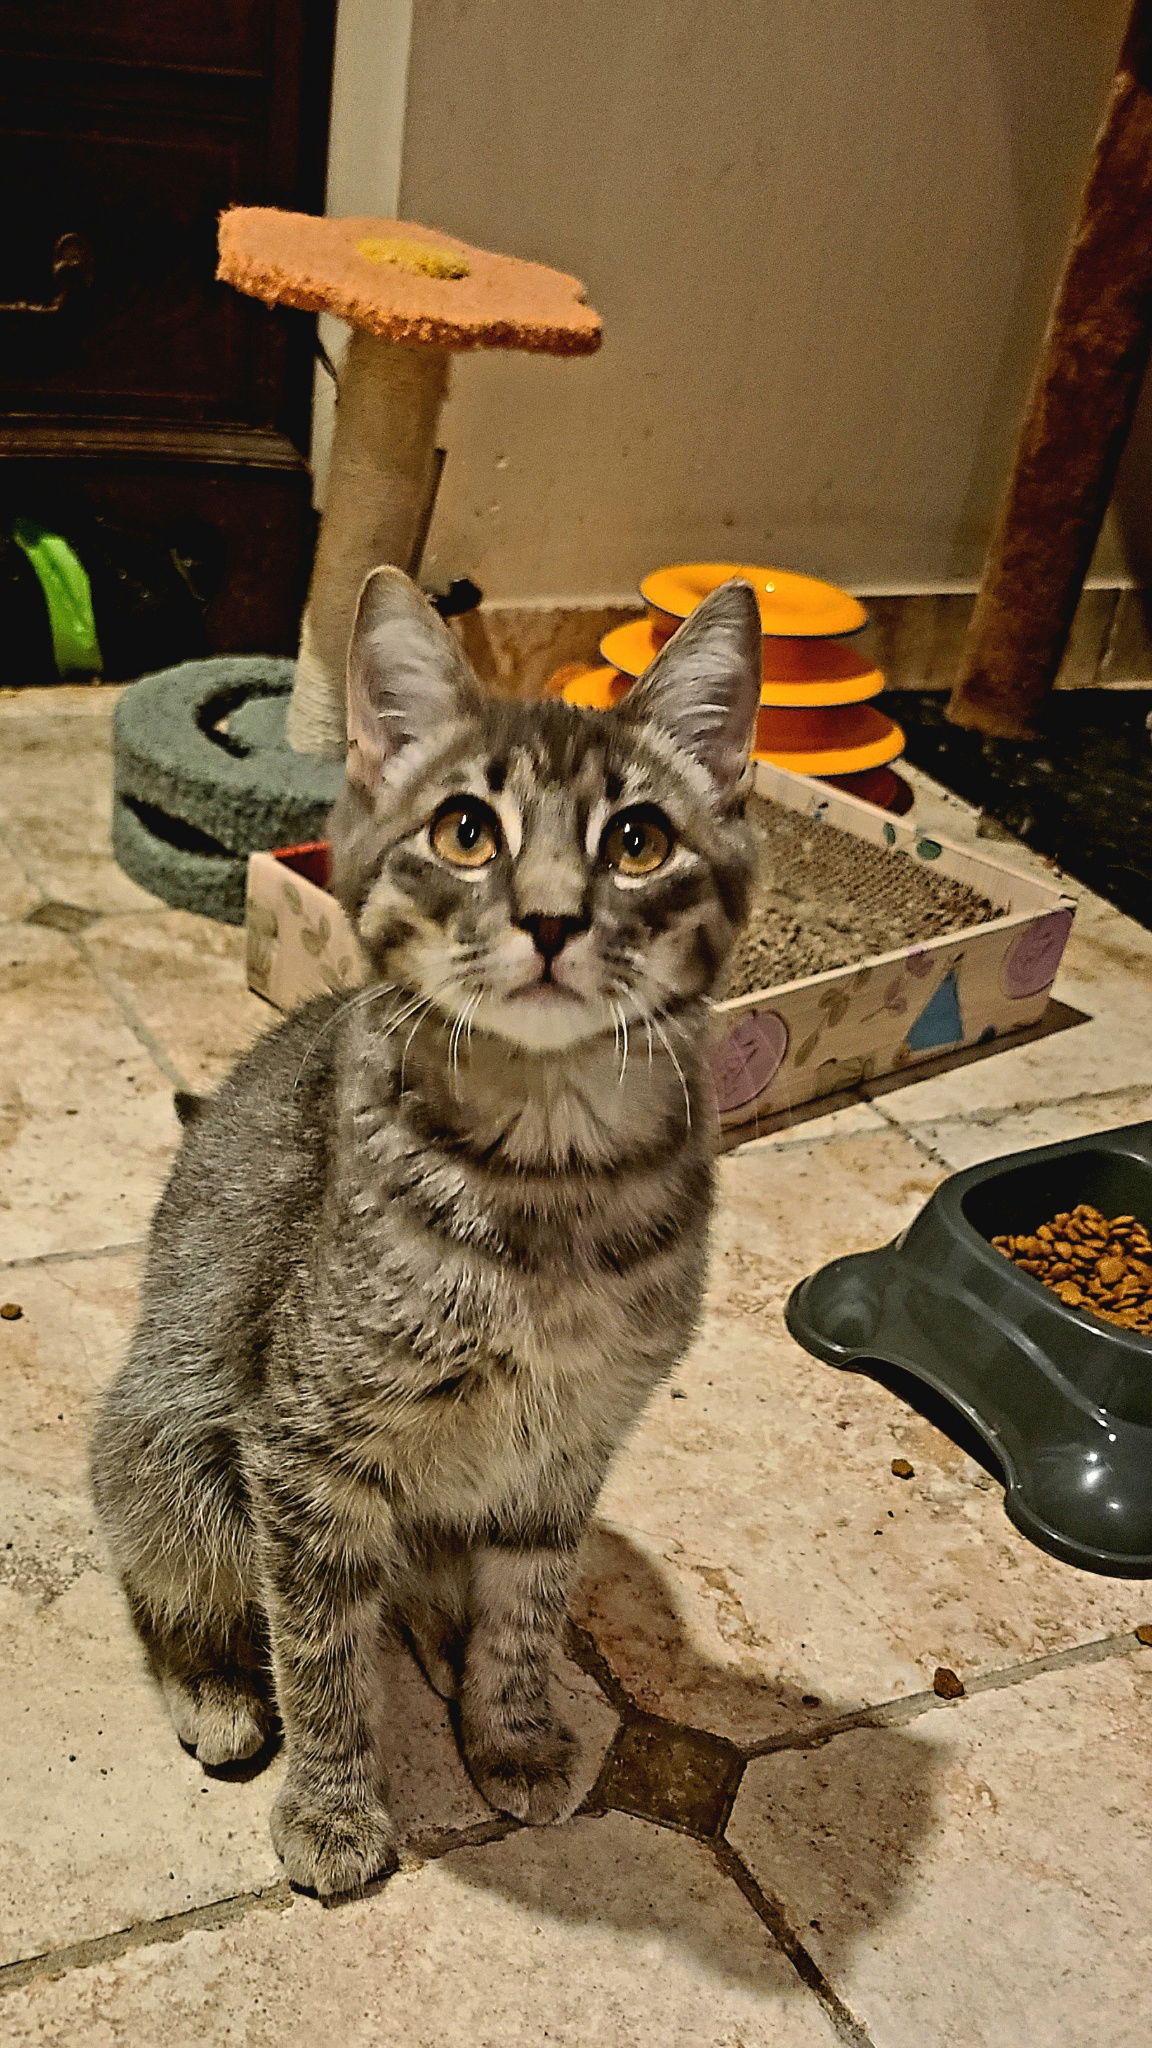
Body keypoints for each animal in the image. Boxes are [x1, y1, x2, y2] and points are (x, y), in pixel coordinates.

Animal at [91, 569, 762, 1892]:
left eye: (638, 841)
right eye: (466, 831)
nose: (551, 918)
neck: (548, 1179)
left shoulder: (566, 1451)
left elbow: (526, 1611)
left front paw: (513, 1731)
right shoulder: (303, 1454)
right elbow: (322, 1653)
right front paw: (335, 1804)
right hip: (172, 1457)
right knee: (170, 1583)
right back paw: (212, 1688)